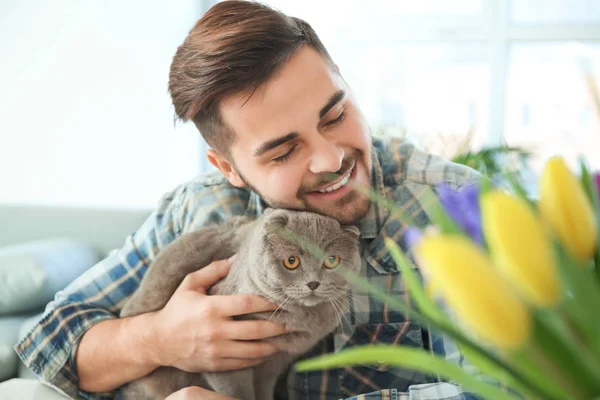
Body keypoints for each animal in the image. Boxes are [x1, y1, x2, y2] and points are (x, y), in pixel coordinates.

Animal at [119, 208, 358, 398]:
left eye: (331, 261)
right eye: (291, 261)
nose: (313, 283)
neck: (303, 320)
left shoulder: (275, 362)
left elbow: (263, 389)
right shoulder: (226, 362)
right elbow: (238, 392)